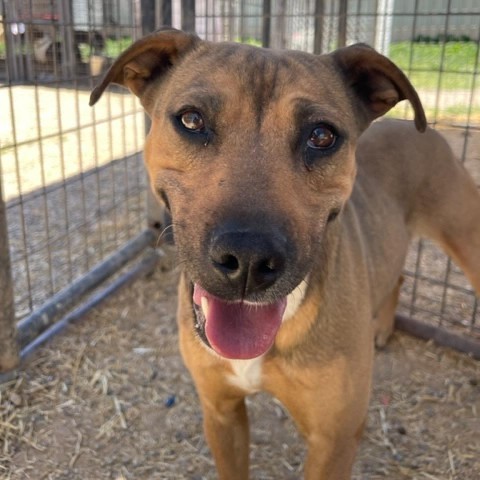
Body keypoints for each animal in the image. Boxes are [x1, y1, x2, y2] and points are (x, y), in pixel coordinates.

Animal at [91, 29, 480, 476]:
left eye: (321, 136)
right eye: (191, 120)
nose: (247, 259)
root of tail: (425, 130)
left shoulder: (334, 440)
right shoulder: (221, 411)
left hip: (467, 238)